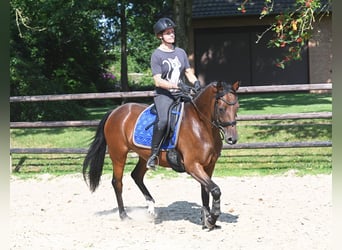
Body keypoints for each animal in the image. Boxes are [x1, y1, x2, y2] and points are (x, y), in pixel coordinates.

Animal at [82, 81, 239, 229]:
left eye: (237, 107)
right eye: (221, 108)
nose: (232, 139)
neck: (201, 125)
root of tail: (115, 111)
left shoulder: (209, 166)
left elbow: (206, 191)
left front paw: (207, 221)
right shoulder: (193, 166)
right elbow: (215, 190)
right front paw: (212, 218)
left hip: (144, 156)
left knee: (136, 176)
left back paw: (151, 206)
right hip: (118, 154)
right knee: (117, 182)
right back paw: (124, 215)